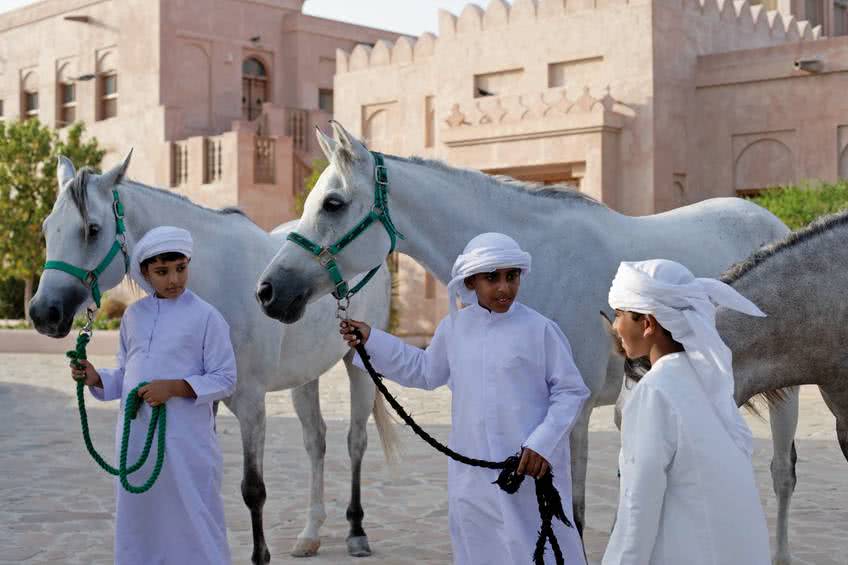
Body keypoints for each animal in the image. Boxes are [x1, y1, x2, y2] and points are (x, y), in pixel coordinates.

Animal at [27, 152, 398, 560]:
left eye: (92, 229)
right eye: (47, 230)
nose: (43, 313)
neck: (213, 281)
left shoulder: (251, 404)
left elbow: (253, 489)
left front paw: (260, 555)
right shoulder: (203, 397)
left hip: (357, 365)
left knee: (355, 442)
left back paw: (356, 532)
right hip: (305, 376)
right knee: (316, 441)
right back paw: (309, 534)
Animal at [256, 121, 800, 560]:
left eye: (333, 203)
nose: (268, 292)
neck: (532, 261)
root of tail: (771, 221)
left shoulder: (573, 408)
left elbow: (573, 510)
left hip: (785, 392)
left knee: (781, 473)